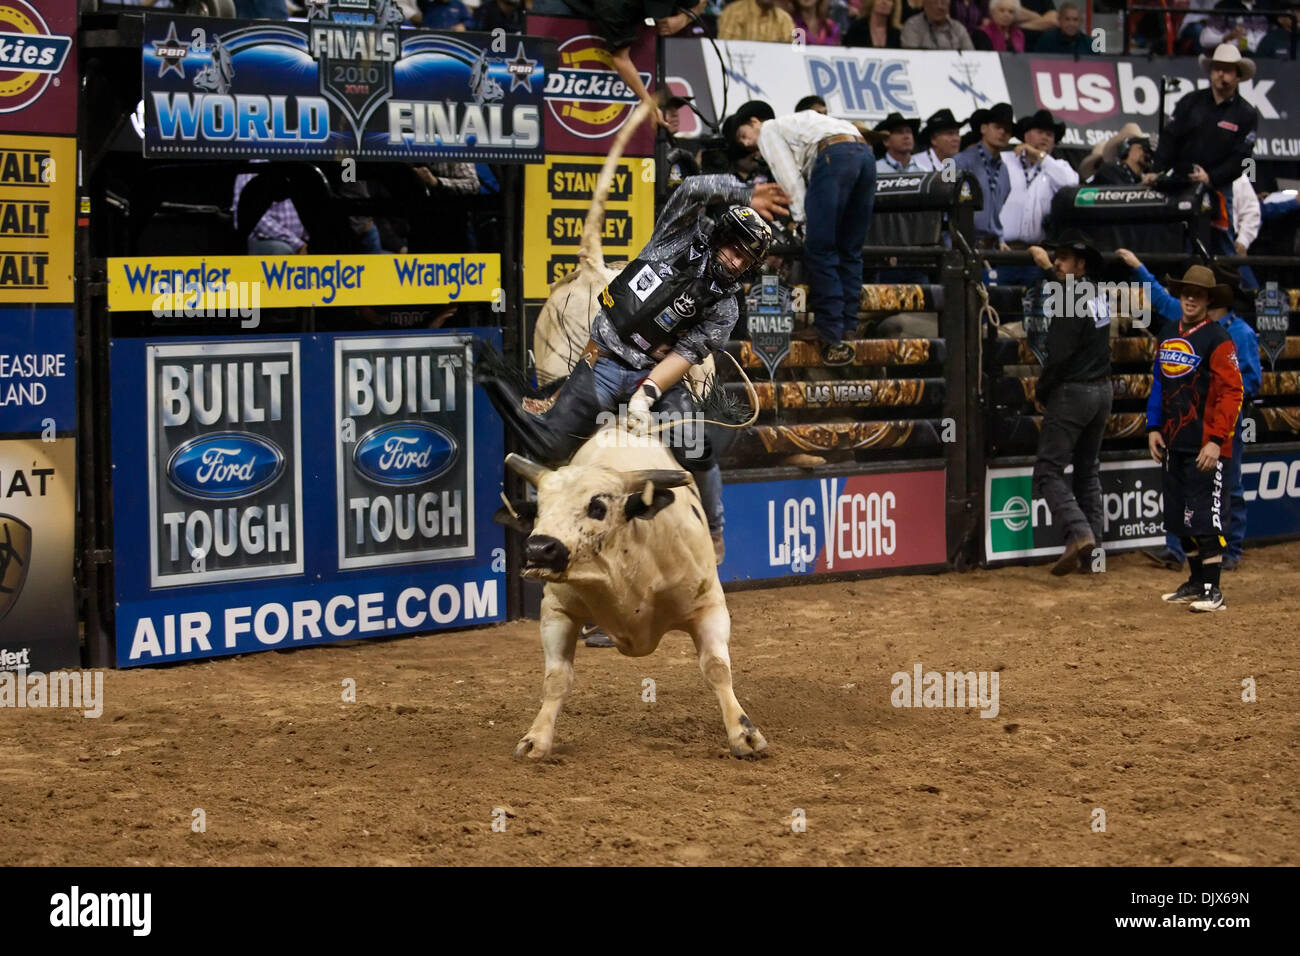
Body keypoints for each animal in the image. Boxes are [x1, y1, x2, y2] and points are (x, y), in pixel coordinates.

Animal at [499, 426, 764, 764]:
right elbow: (557, 678)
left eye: (597, 507)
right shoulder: (557, 612)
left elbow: (717, 668)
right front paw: (536, 739)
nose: (538, 549)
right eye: (540, 509)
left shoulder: (709, 606)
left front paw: (745, 734)